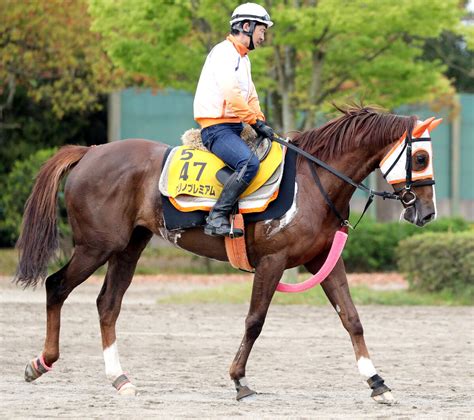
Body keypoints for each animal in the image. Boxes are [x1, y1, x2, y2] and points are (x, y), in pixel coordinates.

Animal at [15, 106, 436, 402]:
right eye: (420, 159)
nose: (427, 213)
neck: (312, 182)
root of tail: (90, 152)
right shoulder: (272, 262)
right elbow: (255, 321)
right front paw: (239, 379)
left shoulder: (323, 261)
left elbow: (351, 318)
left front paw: (377, 381)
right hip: (96, 246)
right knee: (56, 286)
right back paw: (41, 362)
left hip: (128, 248)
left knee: (107, 304)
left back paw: (119, 379)